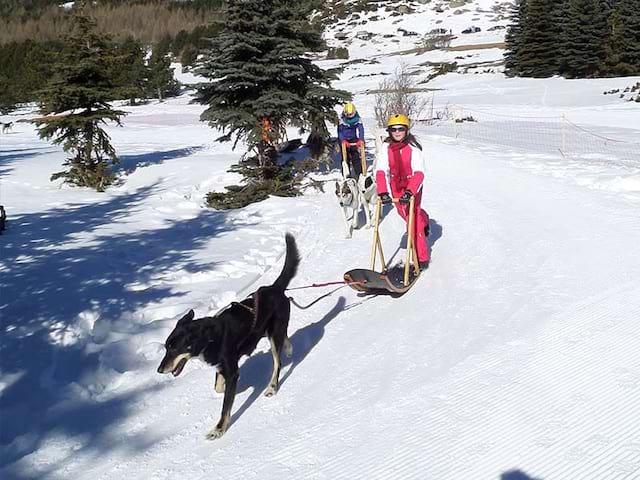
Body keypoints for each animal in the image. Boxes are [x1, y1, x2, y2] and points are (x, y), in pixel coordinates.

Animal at [159, 232, 302, 438]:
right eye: (165, 347)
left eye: (174, 348)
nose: (159, 370)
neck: (209, 338)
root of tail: (274, 288)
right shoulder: (223, 368)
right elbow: (219, 388)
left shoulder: (231, 370)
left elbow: (225, 406)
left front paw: (218, 430)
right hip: (271, 330)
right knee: (284, 337)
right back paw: (289, 348)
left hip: (274, 335)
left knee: (277, 362)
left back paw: (272, 386)